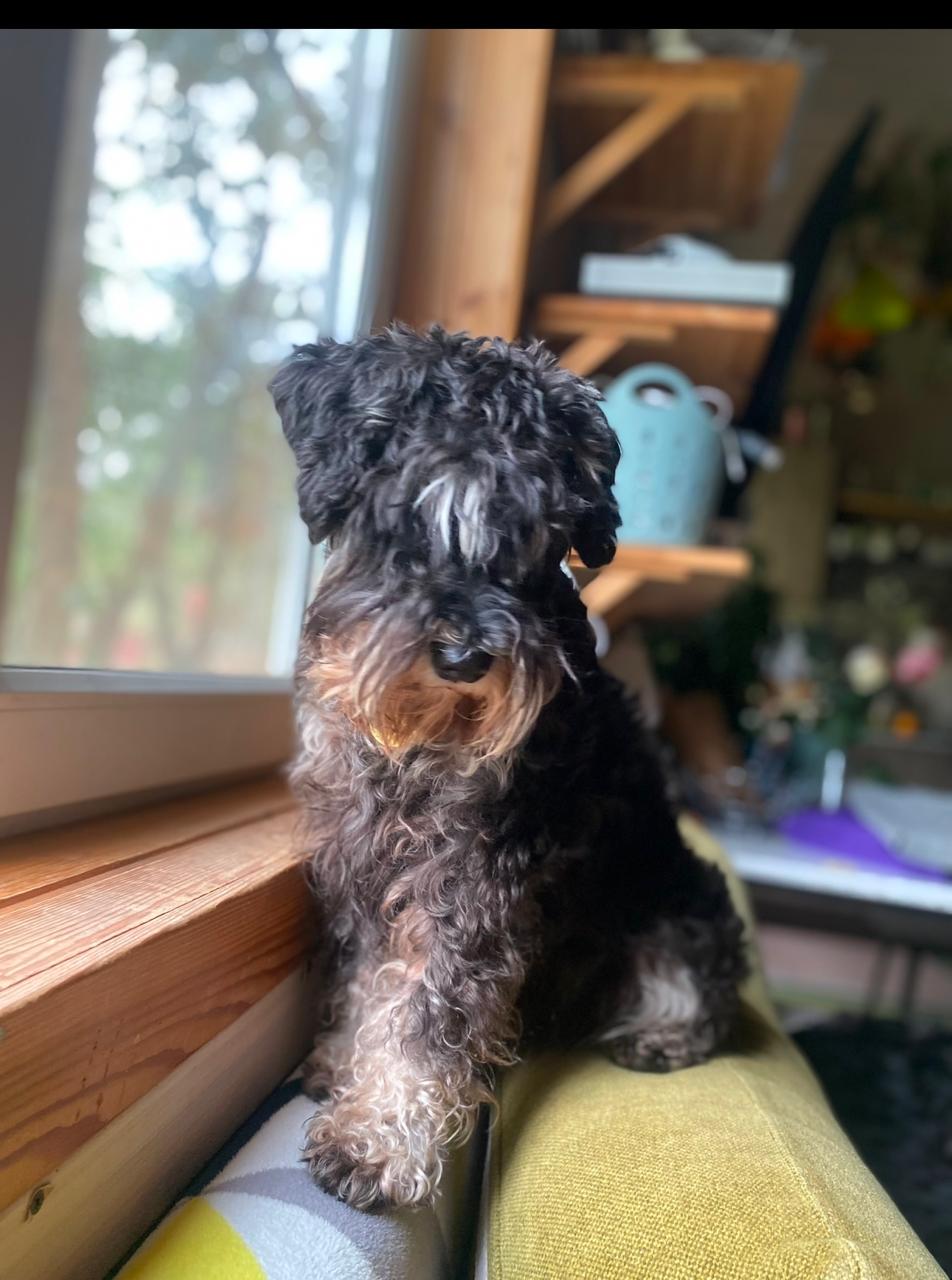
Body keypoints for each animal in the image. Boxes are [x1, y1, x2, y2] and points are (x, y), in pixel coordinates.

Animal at [268, 324, 747, 1211]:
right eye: (404, 515)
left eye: (536, 536)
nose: (463, 658)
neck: (420, 745)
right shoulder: (365, 865)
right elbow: (368, 982)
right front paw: (342, 1064)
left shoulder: (473, 886)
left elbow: (423, 1012)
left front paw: (376, 1141)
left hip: (685, 902)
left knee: (704, 989)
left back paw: (660, 1033)